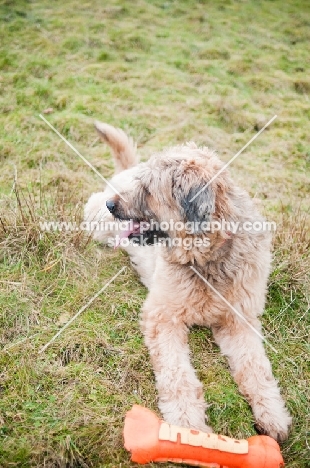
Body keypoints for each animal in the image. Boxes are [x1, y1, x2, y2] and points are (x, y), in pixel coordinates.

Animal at [84, 120, 290, 442]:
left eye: (148, 189)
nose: (111, 204)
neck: (208, 260)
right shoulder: (163, 317)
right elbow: (177, 374)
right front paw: (186, 422)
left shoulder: (239, 320)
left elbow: (256, 367)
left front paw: (272, 412)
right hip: (98, 222)